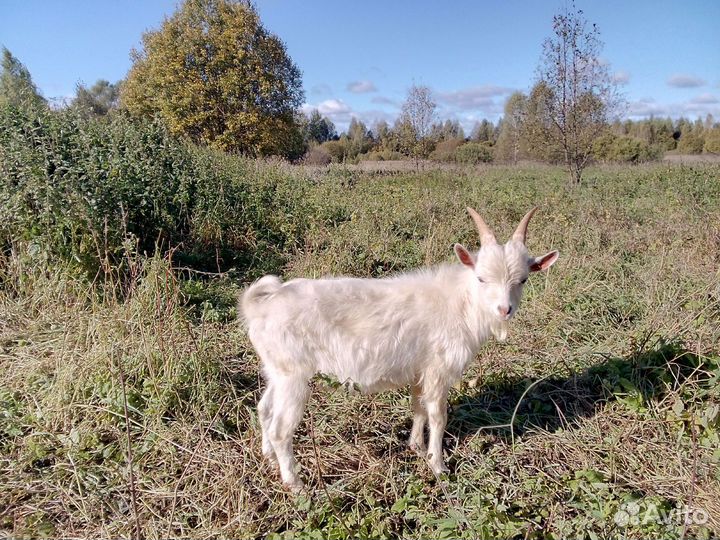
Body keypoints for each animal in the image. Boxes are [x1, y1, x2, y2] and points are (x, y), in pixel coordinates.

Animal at [240, 207, 556, 490]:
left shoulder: (420, 368)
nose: (504, 309)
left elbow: (418, 407)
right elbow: (438, 415)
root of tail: (260, 306)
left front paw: (415, 446)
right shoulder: (438, 369)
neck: (461, 302)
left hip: (276, 370)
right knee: (281, 428)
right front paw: (438, 465)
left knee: (264, 409)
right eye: (481, 278)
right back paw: (296, 485)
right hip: (293, 375)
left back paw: (269, 458)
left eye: (523, 280)